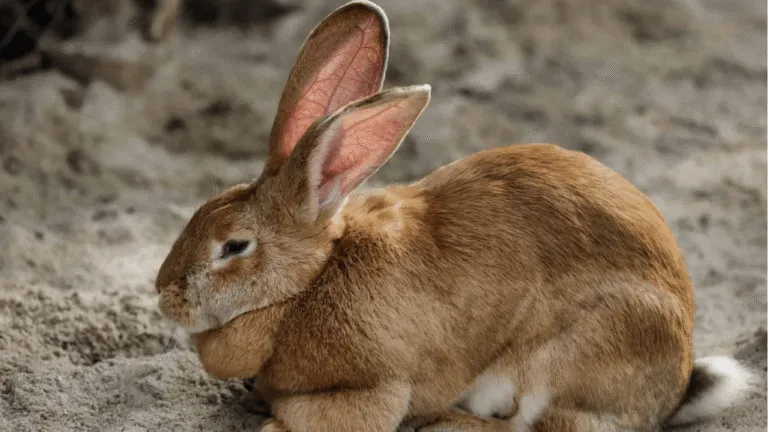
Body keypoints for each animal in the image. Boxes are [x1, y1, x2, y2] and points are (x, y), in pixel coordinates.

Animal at [155, 1, 757, 431]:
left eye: (234, 246)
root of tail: (676, 384)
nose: (164, 294)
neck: (306, 285)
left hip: (571, 354)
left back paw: (449, 422)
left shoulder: (373, 387)